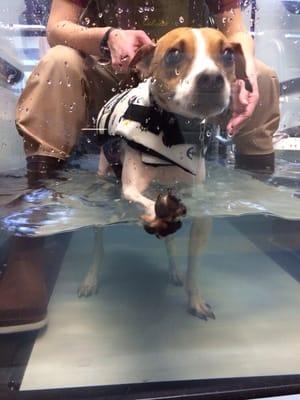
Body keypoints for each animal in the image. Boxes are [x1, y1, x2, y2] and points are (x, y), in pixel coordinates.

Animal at [78, 26, 252, 320]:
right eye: (174, 54)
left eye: (228, 54)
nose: (211, 79)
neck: (173, 132)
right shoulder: (131, 190)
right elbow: (144, 201)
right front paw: (157, 212)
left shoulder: (202, 212)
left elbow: (193, 265)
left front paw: (195, 300)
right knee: (98, 247)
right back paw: (90, 279)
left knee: (170, 244)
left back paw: (173, 268)